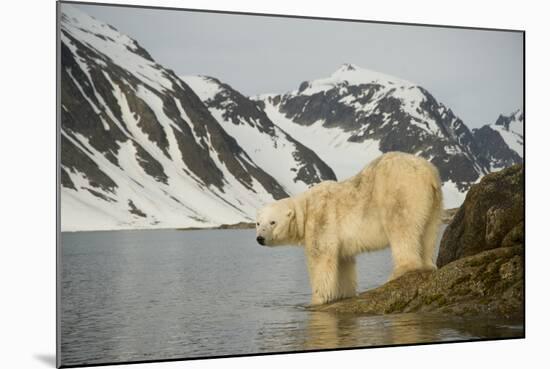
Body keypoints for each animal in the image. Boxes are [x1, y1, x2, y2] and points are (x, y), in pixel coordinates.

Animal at [258, 152, 444, 304]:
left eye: (272, 222)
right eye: (259, 223)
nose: (260, 238)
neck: (305, 208)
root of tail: (429, 172)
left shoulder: (321, 220)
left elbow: (320, 259)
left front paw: (317, 299)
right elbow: (343, 264)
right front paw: (343, 294)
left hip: (400, 191)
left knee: (401, 226)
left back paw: (399, 271)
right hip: (435, 203)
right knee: (429, 232)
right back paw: (428, 265)